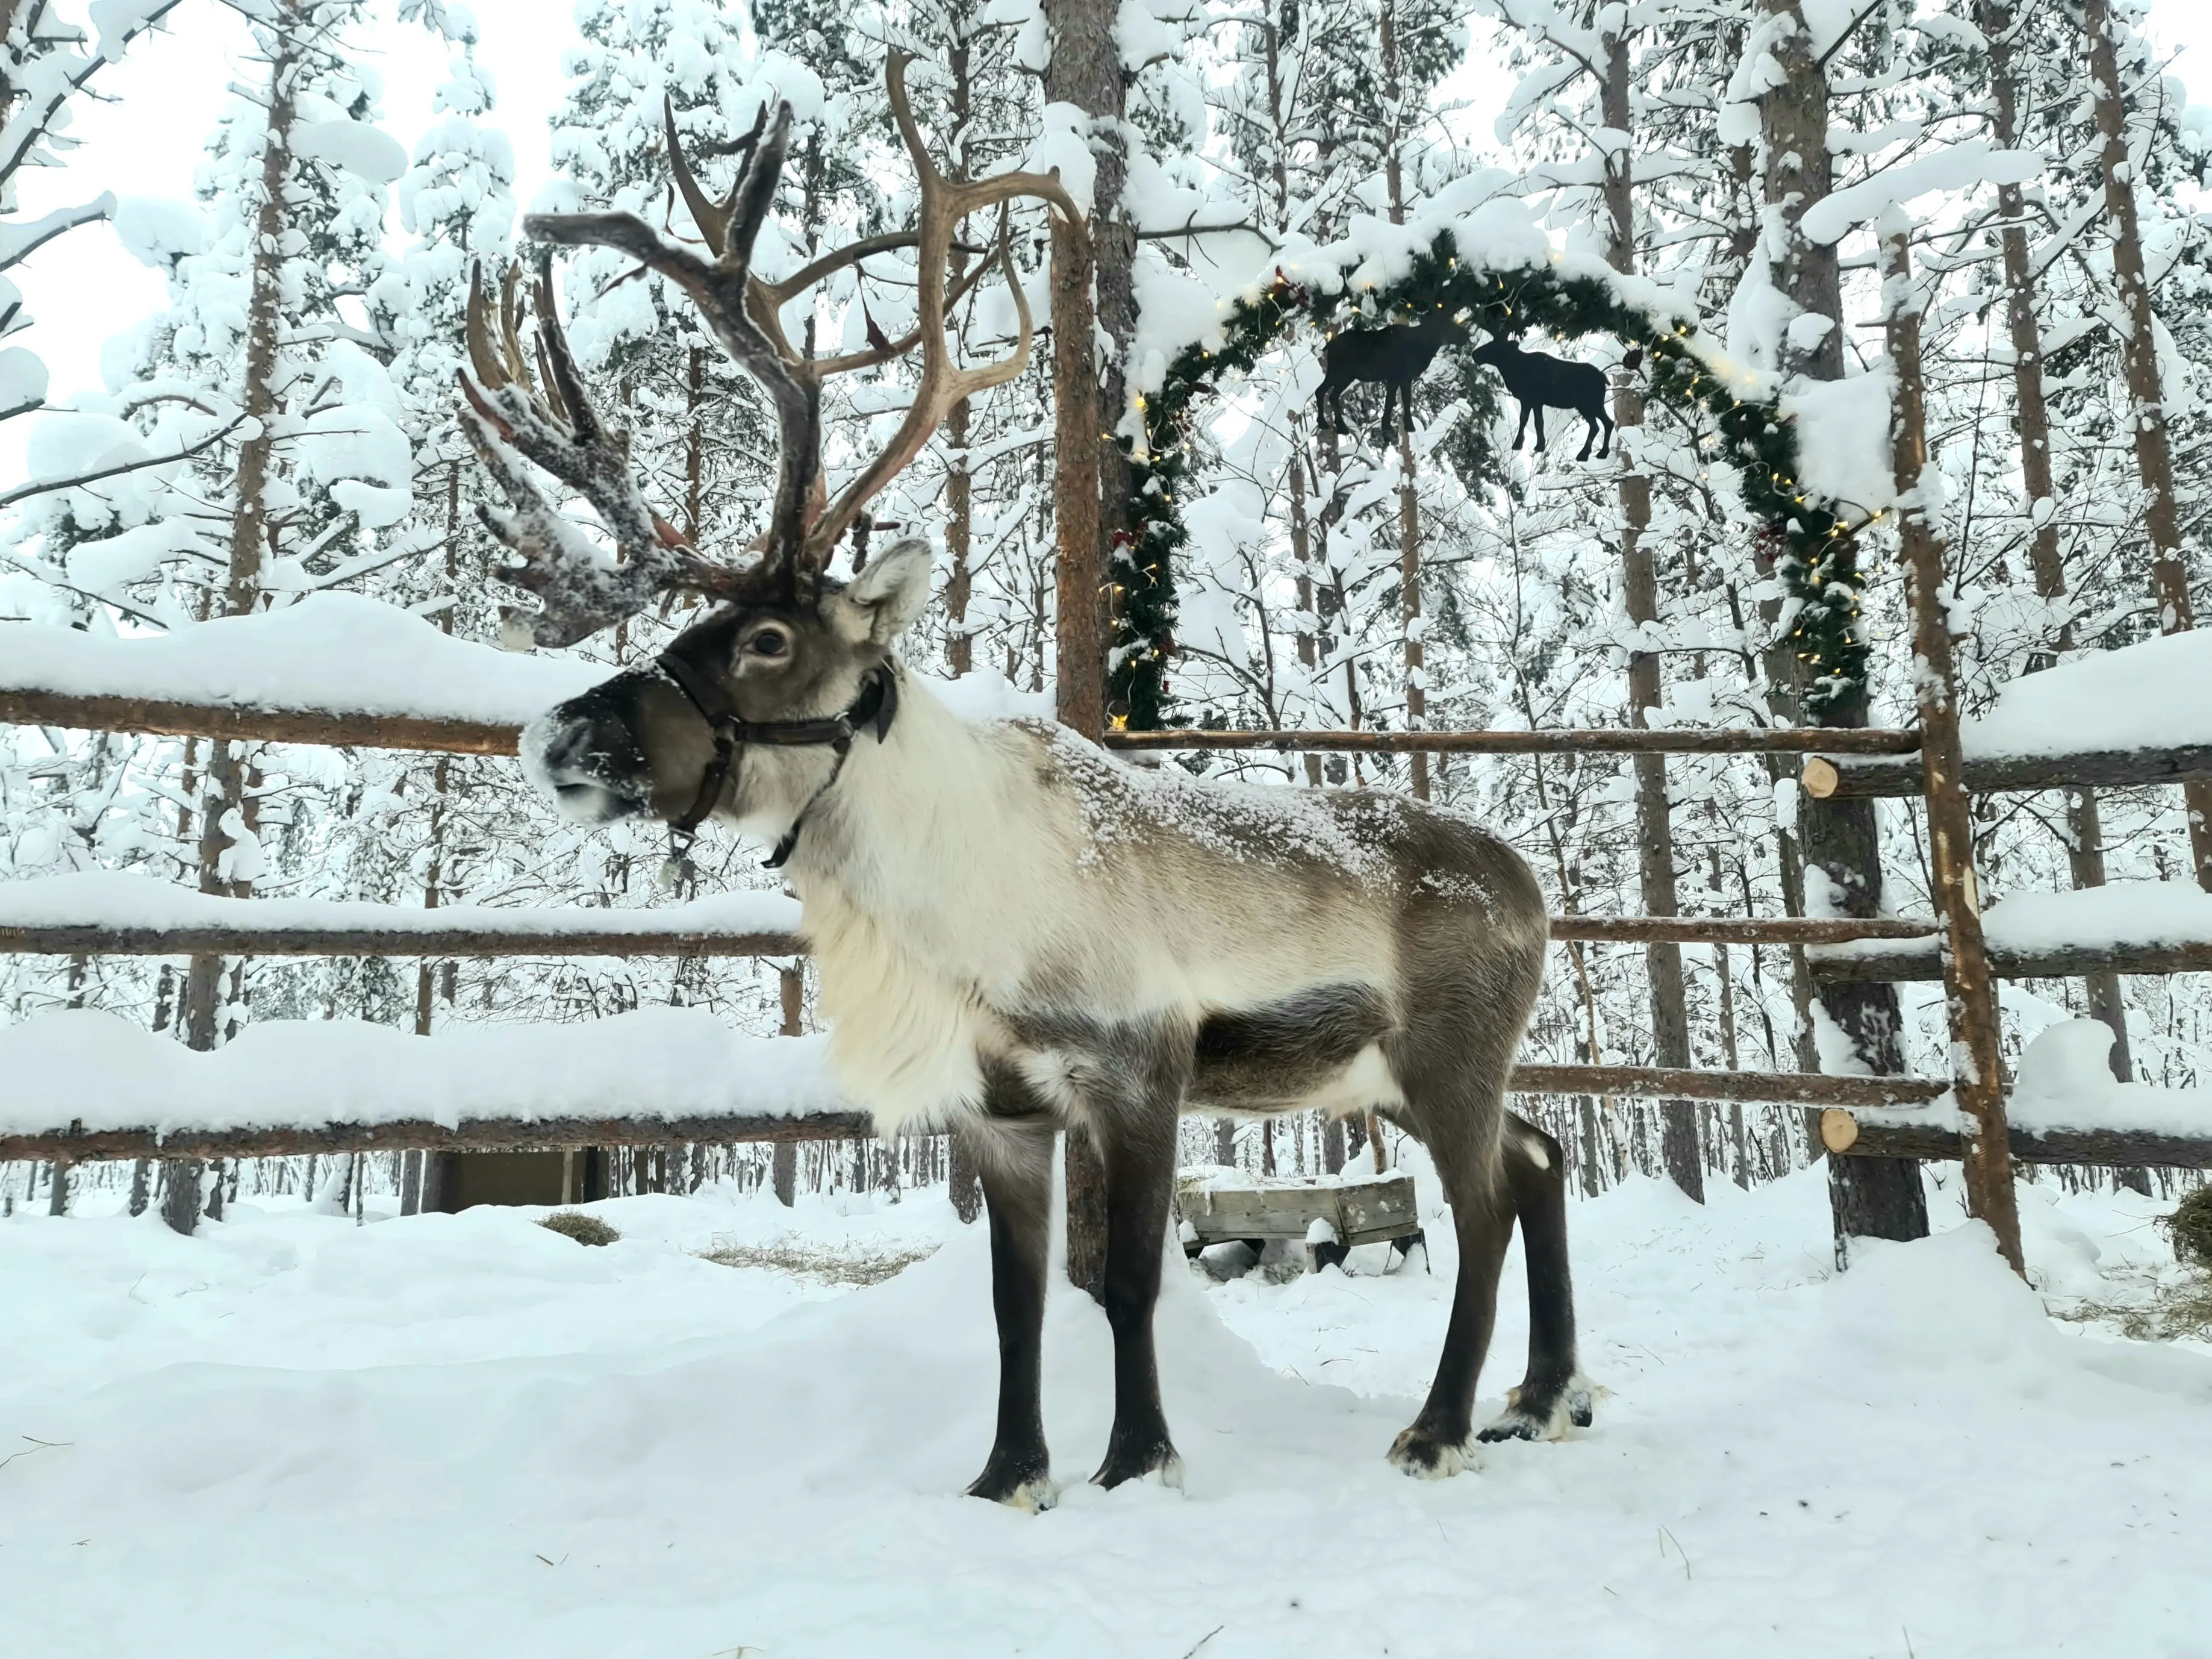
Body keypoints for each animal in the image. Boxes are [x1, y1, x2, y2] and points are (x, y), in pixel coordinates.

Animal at [1314, 305, 1469, 447]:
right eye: (1445, 323)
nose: (1466, 335)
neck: (1424, 348)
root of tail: (1329, 346)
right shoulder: (1403, 376)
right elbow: (1404, 400)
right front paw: (1409, 427)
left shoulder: (1394, 378)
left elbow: (1390, 400)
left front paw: (1387, 426)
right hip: (1341, 373)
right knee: (1325, 393)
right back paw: (1333, 425)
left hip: (1342, 375)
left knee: (1326, 393)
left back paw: (1332, 425)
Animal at [1466, 336, 1623, 461]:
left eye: (1496, 347)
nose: (1474, 354)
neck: (1513, 369)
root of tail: (1604, 379)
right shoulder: (1531, 401)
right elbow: (1528, 421)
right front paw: (1528, 445)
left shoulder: (1533, 400)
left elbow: (1536, 422)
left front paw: (1533, 445)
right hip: (1595, 405)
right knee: (1608, 423)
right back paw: (1602, 453)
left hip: (1587, 405)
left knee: (1597, 426)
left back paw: (1584, 455)